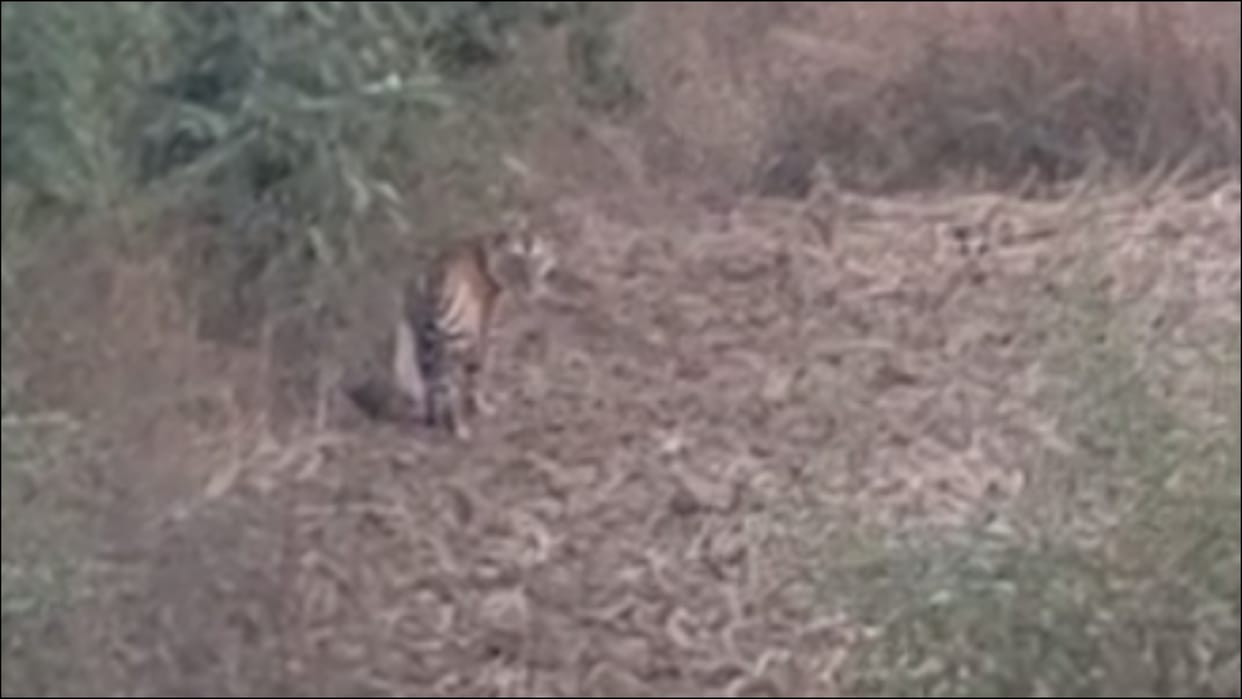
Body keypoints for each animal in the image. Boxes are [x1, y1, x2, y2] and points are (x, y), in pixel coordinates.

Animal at [397, 226, 556, 440]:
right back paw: (461, 429)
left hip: (425, 342)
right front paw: (483, 407)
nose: (530, 288)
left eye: (537, 259)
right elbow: (480, 372)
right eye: (515, 260)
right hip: (460, 340)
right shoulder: (488, 332)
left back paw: (431, 419)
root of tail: (437, 278)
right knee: (452, 387)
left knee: (429, 380)